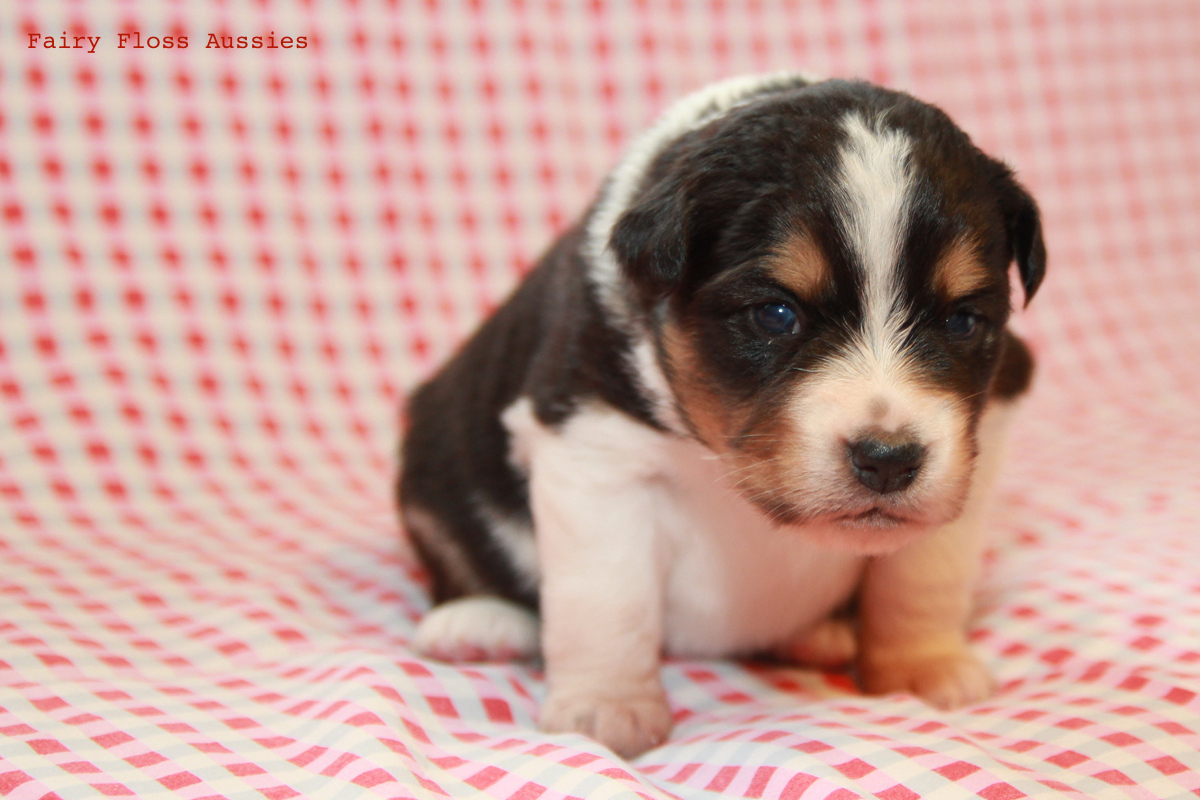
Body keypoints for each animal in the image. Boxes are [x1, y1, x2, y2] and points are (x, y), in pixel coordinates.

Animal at [398, 73, 1046, 758]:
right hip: (432, 460)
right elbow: (607, 597)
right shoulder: (590, 443)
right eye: (776, 314)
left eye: (961, 320)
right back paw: (477, 623)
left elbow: (925, 574)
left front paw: (922, 666)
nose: (888, 460)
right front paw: (607, 705)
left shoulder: (982, 433)